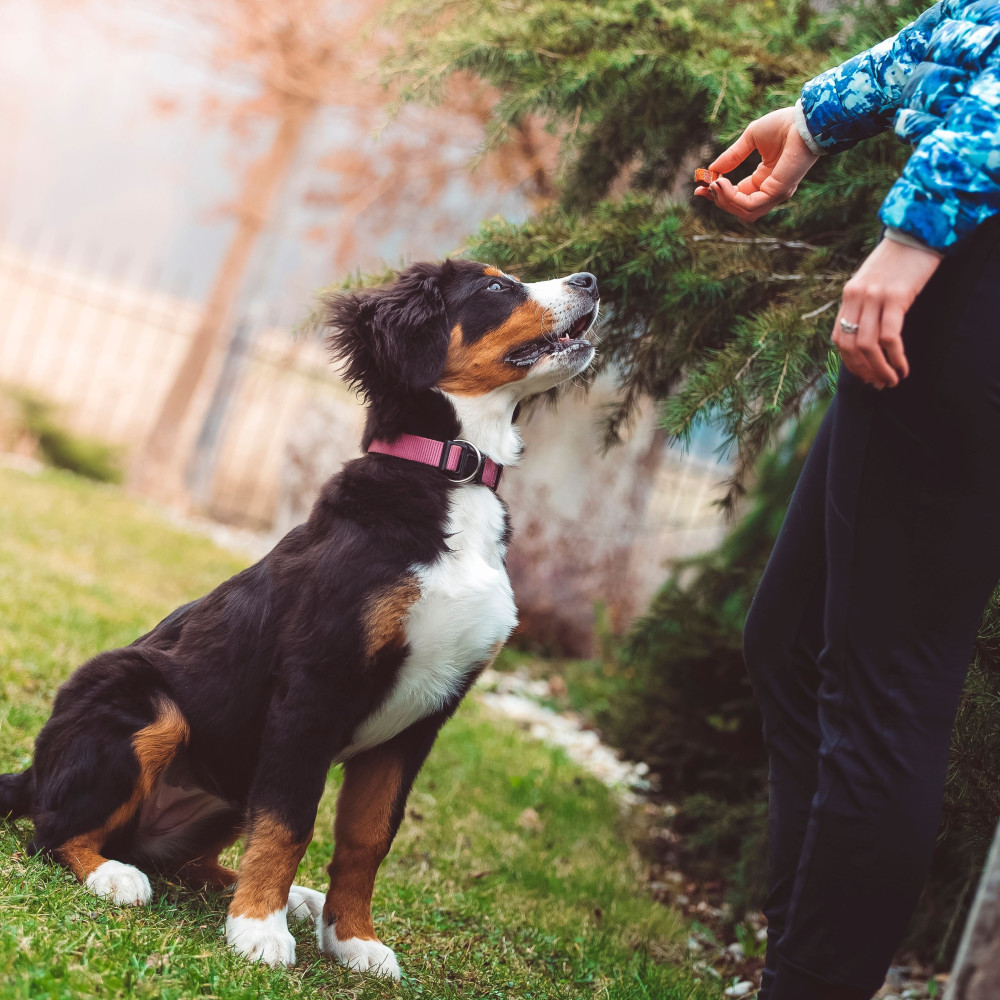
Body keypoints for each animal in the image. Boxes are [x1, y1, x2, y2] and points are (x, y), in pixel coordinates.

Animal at [0, 258, 596, 976]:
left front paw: (353, 939)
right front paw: (258, 930)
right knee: (53, 829)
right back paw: (116, 876)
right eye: (496, 288)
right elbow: (289, 821)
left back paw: (294, 899)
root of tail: (34, 768)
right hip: (146, 707)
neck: (453, 480)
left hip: (225, 786)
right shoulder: (315, 685)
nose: (592, 281)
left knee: (184, 859)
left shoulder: (424, 715)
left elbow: (367, 837)